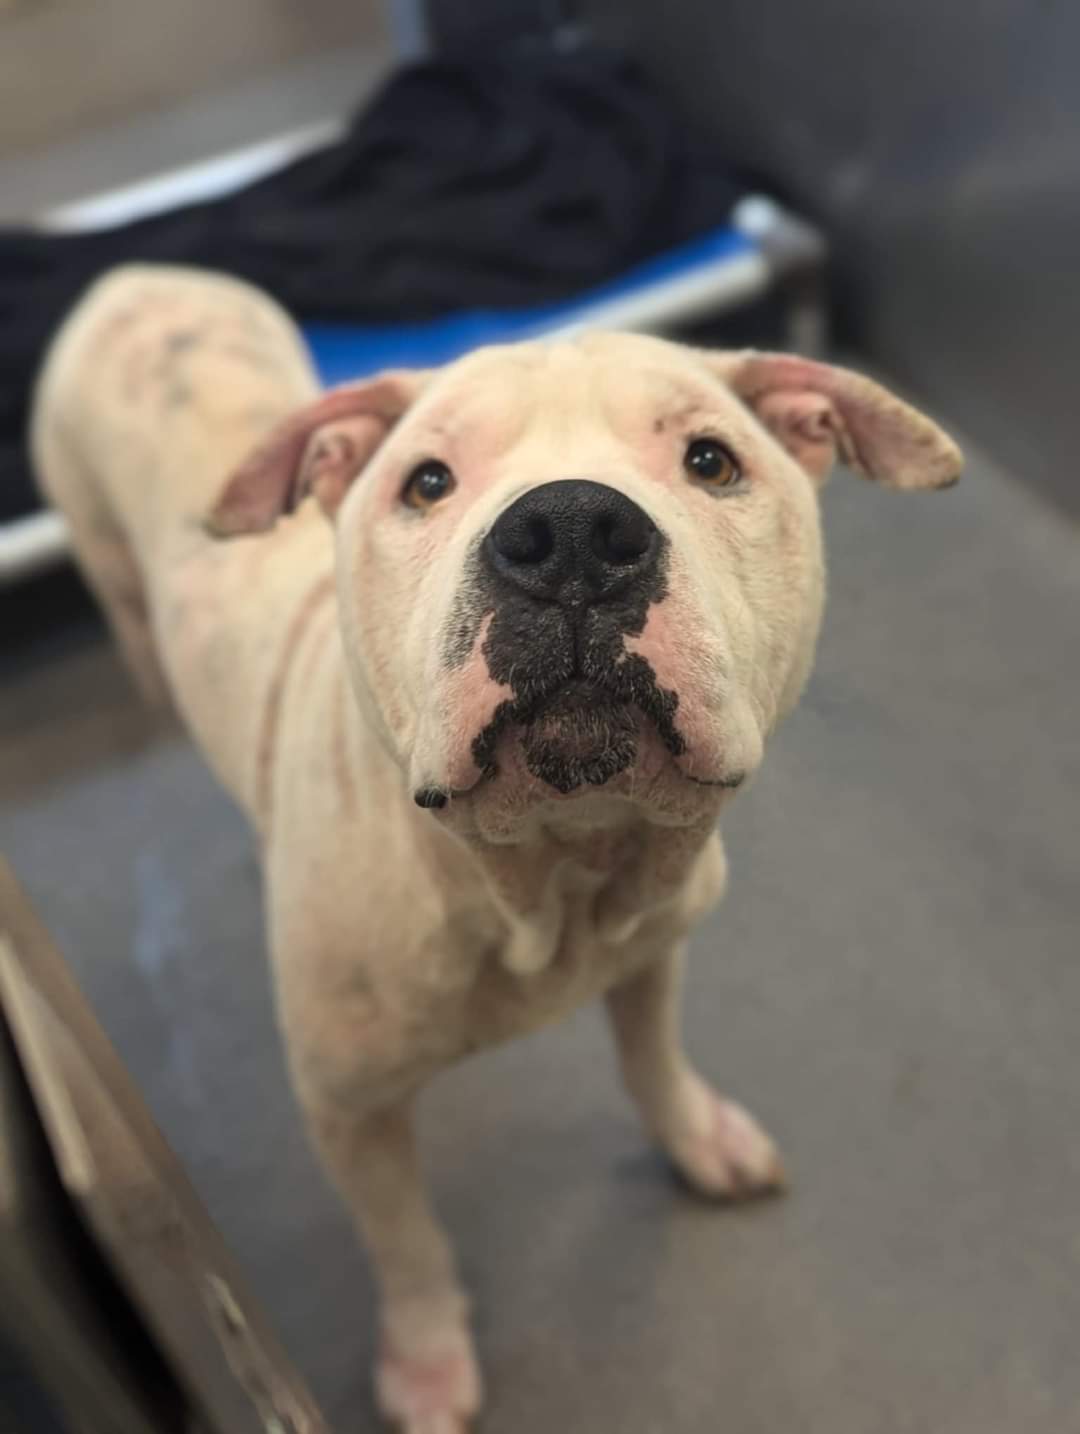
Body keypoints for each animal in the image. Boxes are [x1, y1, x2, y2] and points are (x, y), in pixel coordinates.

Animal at [31, 263, 958, 1428]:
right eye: (427, 482)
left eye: (712, 460)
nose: (570, 530)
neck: (549, 876)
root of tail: (137, 275)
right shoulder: (350, 1114)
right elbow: (409, 1245)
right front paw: (428, 1365)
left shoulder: (653, 946)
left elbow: (652, 1060)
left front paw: (696, 1138)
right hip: (120, 592)